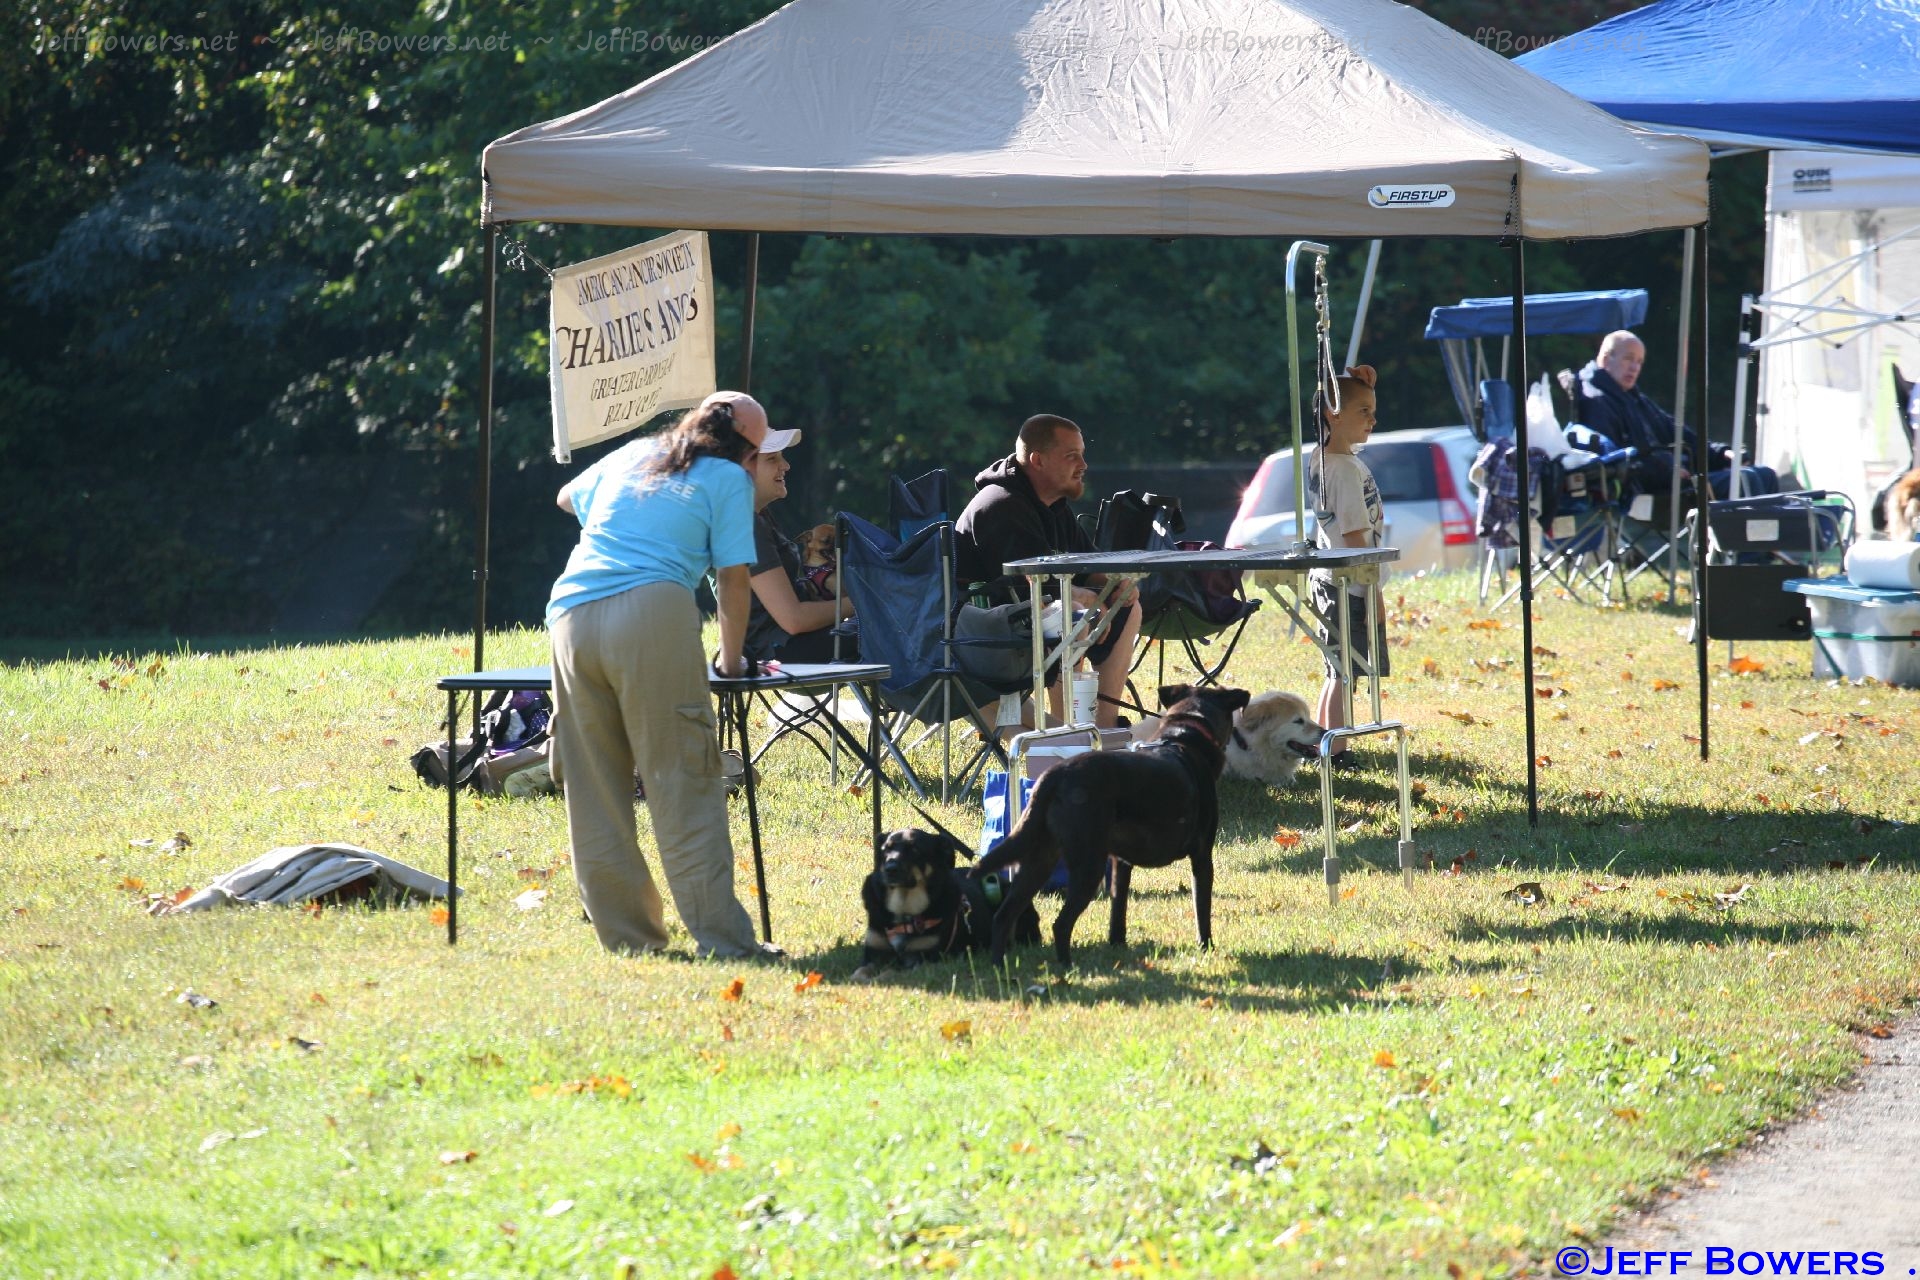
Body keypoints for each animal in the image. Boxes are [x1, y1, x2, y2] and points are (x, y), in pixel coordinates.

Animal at [853, 828, 1039, 979]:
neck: (904, 909)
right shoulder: (874, 951)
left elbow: (892, 972)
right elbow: (862, 970)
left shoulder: (925, 959)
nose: (890, 869)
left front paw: (880, 978)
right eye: (886, 849)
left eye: (915, 850)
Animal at [972, 682, 1250, 968]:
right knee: (1061, 924)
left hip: (1039, 860)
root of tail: (1055, 776)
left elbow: (1118, 908)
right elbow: (1202, 909)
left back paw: (999, 965)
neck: (1184, 739)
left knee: (1004, 915)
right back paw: (1067, 968)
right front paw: (1206, 947)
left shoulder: (1120, 862)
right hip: (1087, 864)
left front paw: (1117, 944)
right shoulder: (1202, 856)